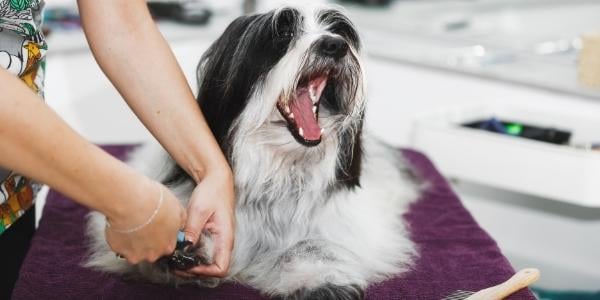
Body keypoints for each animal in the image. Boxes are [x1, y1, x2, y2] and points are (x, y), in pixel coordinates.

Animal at [88, 5, 418, 300]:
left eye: (337, 30)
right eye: (283, 32)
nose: (335, 45)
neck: (279, 173)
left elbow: (313, 244)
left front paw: (318, 279)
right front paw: (190, 246)